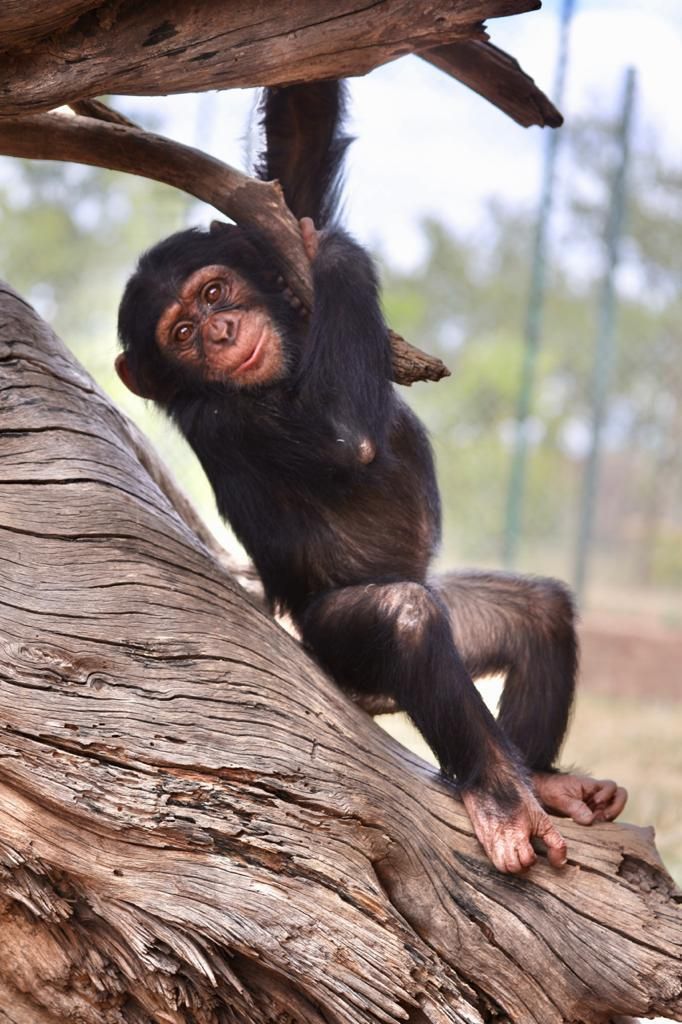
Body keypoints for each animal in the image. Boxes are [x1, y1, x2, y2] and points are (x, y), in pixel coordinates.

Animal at [115, 79, 622, 872]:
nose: (222, 334)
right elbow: (344, 436)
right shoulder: (225, 418)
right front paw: (341, 255)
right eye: (183, 334)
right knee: (405, 620)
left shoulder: (280, 227)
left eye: (214, 293)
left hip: (454, 622)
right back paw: (502, 797)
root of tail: (367, 698)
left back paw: (542, 779)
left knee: (534, 613)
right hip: (335, 645)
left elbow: (298, 150)